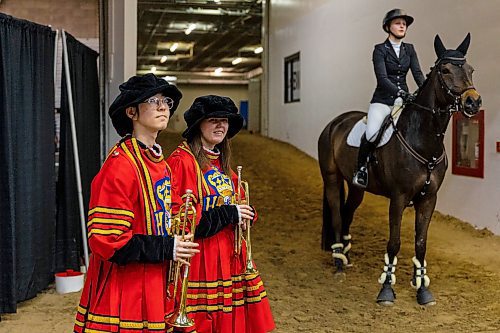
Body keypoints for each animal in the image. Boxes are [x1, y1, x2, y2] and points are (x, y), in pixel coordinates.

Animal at [318, 33, 482, 304]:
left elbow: (421, 243)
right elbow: (394, 242)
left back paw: (346, 257)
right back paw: (339, 263)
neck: (424, 141)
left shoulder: (428, 199)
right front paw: (386, 289)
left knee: (348, 211)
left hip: (356, 187)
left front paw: (422, 288)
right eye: (445, 70)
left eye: (470, 69)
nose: (473, 102)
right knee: (337, 215)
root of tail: (336, 122)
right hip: (331, 178)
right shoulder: (398, 197)